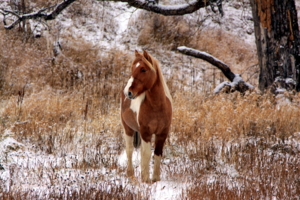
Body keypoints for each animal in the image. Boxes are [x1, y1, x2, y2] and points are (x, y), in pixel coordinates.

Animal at [120, 50, 172, 183]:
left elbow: (157, 153)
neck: (157, 107)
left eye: (143, 69)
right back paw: (130, 173)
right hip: (128, 129)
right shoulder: (146, 132)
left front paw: (155, 178)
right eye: (132, 68)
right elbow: (147, 154)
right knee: (129, 150)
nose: (128, 92)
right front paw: (146, 179)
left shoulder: (162, 133)